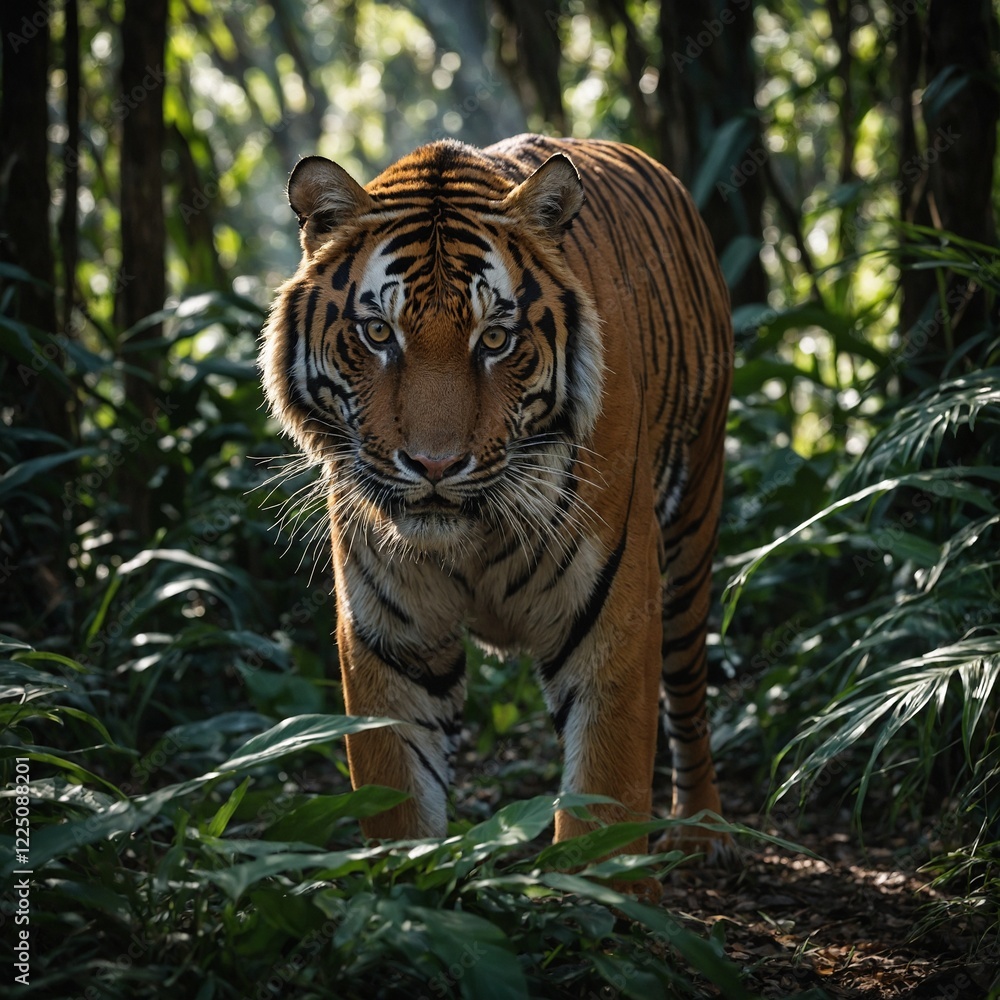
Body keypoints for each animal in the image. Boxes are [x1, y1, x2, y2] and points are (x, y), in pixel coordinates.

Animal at [260, 133, 733, 873]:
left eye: (493, 339)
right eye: (377, 335)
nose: (433, 466)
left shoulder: (614, 617)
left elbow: (608, 792)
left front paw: (602, 892)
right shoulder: (390, 639)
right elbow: (398, 800)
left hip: (692, 533)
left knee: (688, 693)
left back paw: (702, 831)